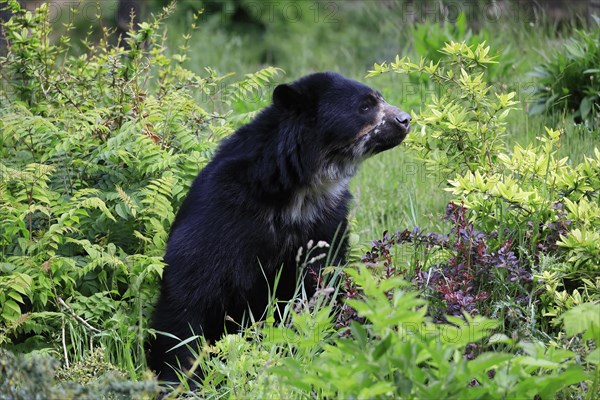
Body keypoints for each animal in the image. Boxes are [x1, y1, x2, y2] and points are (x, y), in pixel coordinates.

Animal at [150, 71, 412, 382]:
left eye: (379, 98)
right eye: (365, 106)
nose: (405, 119)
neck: (298, 192)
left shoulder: (327, 221)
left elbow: (325, 282)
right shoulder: (222, 212)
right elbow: (190, 289)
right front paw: (180, 374)